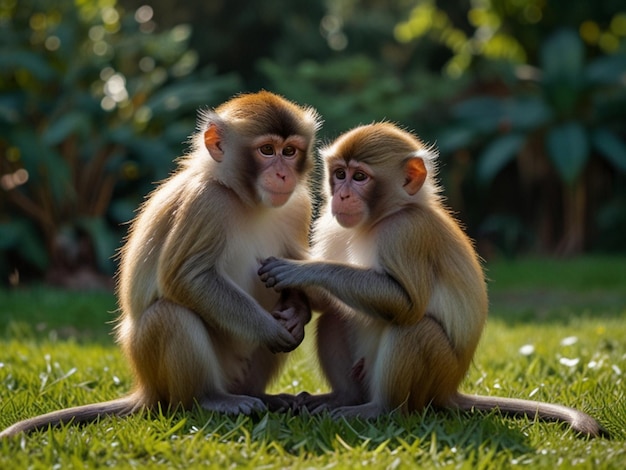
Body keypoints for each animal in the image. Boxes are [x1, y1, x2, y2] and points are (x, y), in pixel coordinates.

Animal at [0, 92, 320, 440]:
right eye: (267, 150)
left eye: (289, 151)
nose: (284, 174)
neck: (247, 199)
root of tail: (146, 389)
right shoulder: (206, 203)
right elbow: (186, 278)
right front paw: (271, 329)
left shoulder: (298, 205)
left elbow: (290, 272)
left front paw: (297, 315)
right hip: (157, 368)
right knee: (171, 315)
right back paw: (209, 399)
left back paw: (262, 396)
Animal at [256, 121, 604, 436]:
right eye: (339, 174)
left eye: (359, 177)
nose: (340, 195)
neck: (379, 219)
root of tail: (450, 389)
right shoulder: (331, 224)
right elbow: (327, 302)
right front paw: (296, 311)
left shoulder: (406, 233)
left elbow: (406, 305)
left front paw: (302, 271)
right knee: (336, 315)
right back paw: (342, 397)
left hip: (434, 376)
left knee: (414, 328)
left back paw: (380, 409)